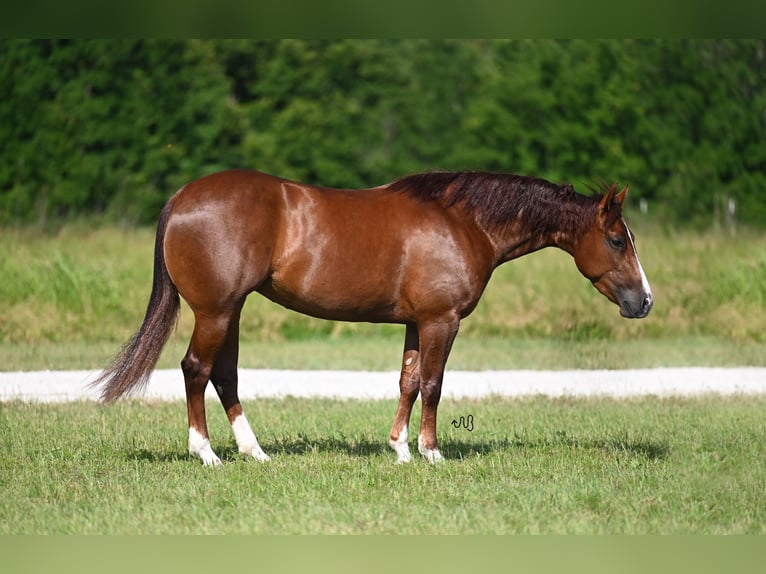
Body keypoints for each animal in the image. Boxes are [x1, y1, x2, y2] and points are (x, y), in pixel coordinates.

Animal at [90, 169, 656, 466]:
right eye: (615, 239)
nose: (644, 302)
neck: (464, 222)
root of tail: (182, 196)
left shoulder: (415, 323)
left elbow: (407, 382)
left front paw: (400, 449)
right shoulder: (441, 321)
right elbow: (433, 384)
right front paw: (431, 452)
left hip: (231, 311)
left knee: (224, 376)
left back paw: (255, 452)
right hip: (216, 310)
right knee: (196, 370)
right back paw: (206, 453)